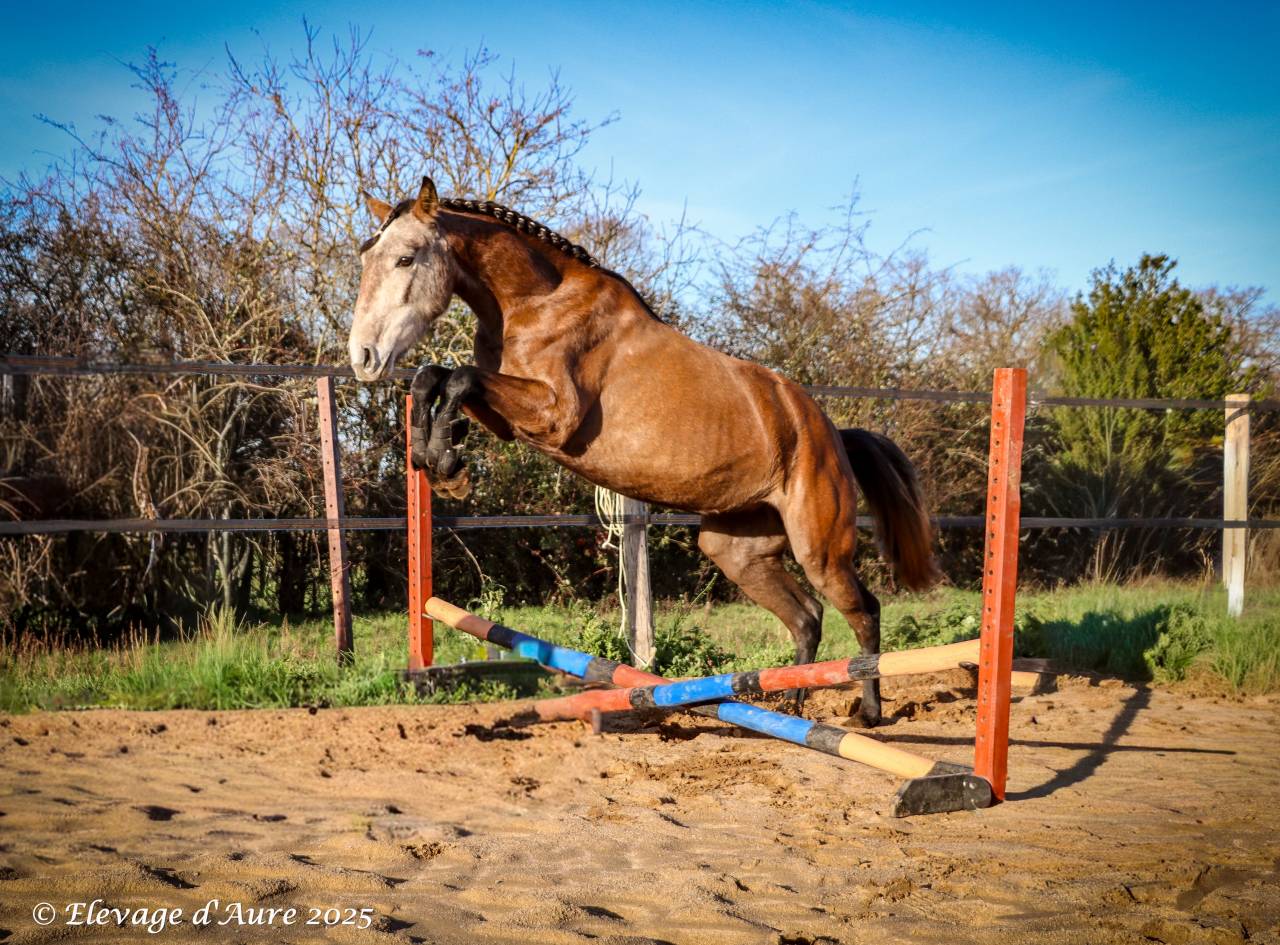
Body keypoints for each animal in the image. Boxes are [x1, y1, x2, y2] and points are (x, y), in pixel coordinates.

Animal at [348, 176, 939, 726]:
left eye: (405, 258)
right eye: (366, 256)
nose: (363, 357)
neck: (535, 303)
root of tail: (831, 432)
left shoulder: (554, 417)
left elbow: (460, 378)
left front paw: (448, 468)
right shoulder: (506, 415)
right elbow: (434, 377)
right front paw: (433, 458)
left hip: (819, 548)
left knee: (863, 611)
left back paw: (867, 713)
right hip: (737, 550)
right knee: (807, 617)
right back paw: (792, 708)